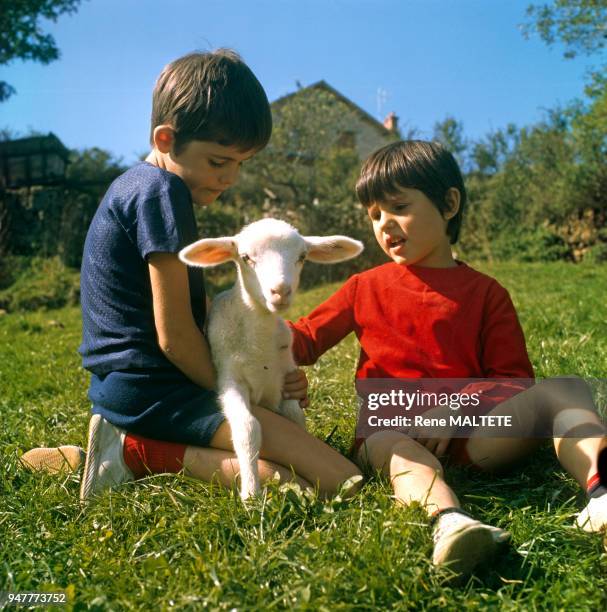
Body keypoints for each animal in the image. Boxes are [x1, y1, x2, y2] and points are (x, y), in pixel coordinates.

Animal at [178, 218, 364, 500]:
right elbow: (248, 429)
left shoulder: (285, 378)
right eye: (245, 257)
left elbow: (296, 421)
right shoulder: (229, 379)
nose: (280, 291)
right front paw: (251, 494)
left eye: (302, 257)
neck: (259, 347)